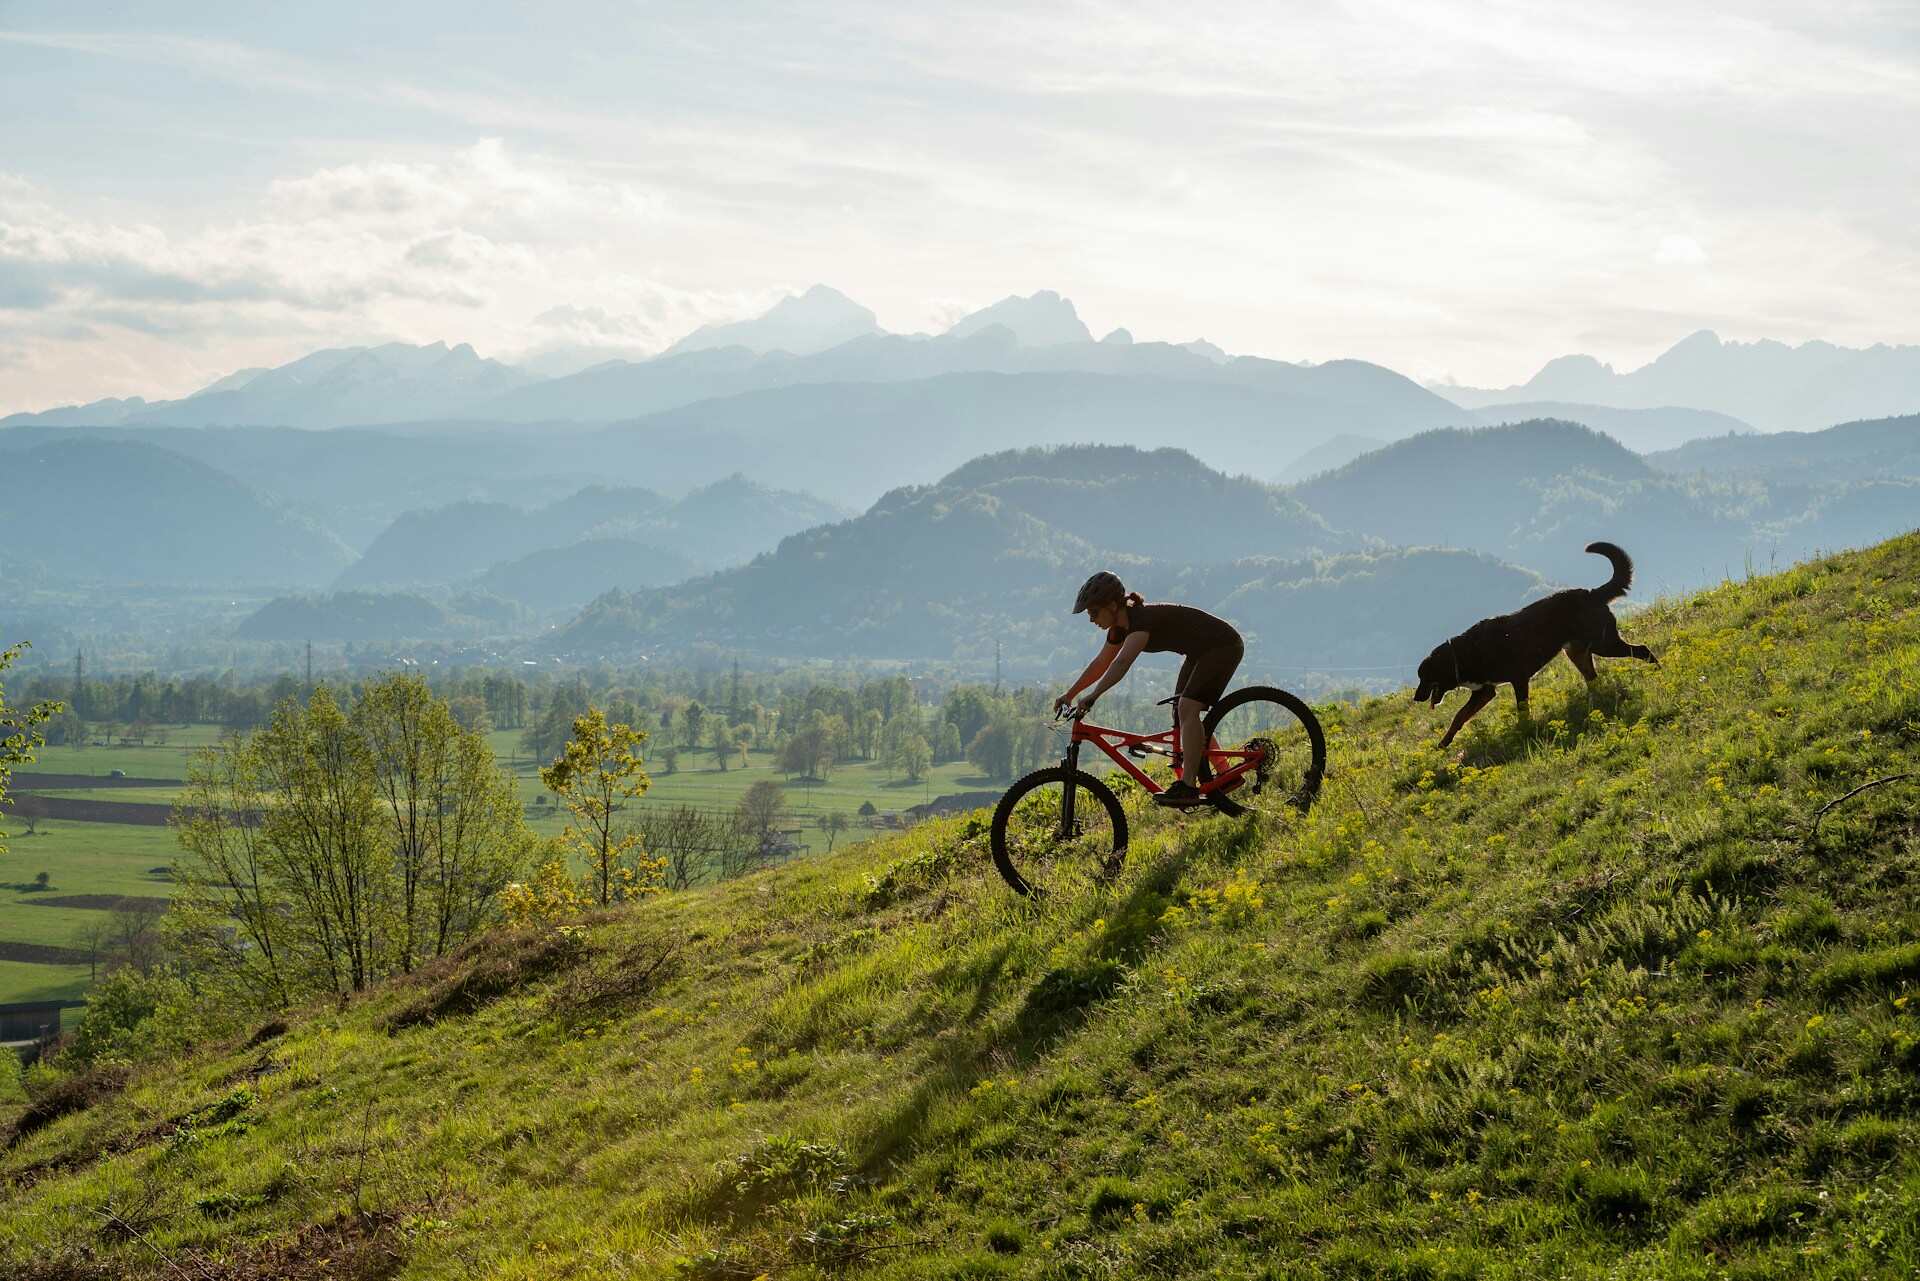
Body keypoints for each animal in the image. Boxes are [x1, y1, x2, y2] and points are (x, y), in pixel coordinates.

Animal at [1413, 545, 1666, 752]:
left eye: (1424, 677)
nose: (1416, 698)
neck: (1461, 654)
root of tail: (1591, 593)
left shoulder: (1518, 679)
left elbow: (1521, 710)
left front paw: (1523, 730)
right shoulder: (1484, 692)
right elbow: (1459, 716)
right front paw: (1444, 743)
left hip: (1604, 644)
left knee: (1643, 650)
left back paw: (1659, 672)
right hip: (1577, 652)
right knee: (1594, 679)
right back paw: (1594, 702)